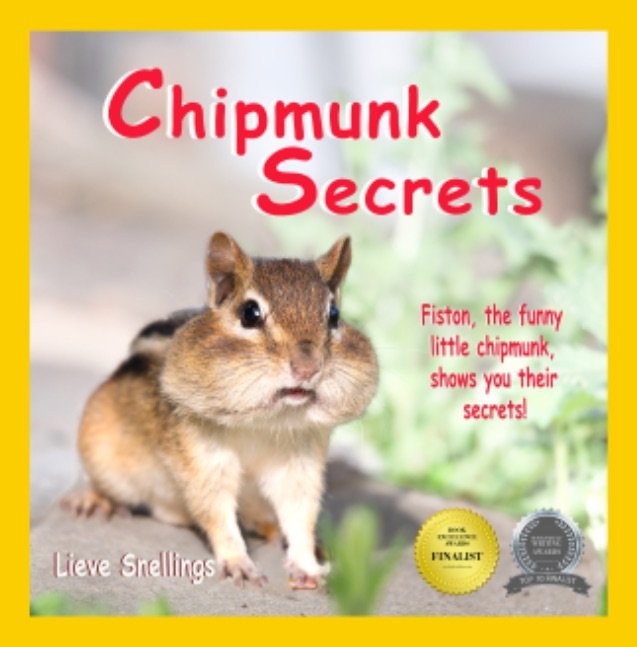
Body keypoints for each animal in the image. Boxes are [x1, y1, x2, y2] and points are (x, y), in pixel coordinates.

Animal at [65, 232, 378, 589]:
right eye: (250, 313)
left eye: (334, 315)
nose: (307, 368)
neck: (264, 422)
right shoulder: (202, 454)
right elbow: (214, 509)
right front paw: (237, 562)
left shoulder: (299, 462)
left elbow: (300, 512)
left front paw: (306, 563)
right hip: (100, 448)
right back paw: (95, 501)